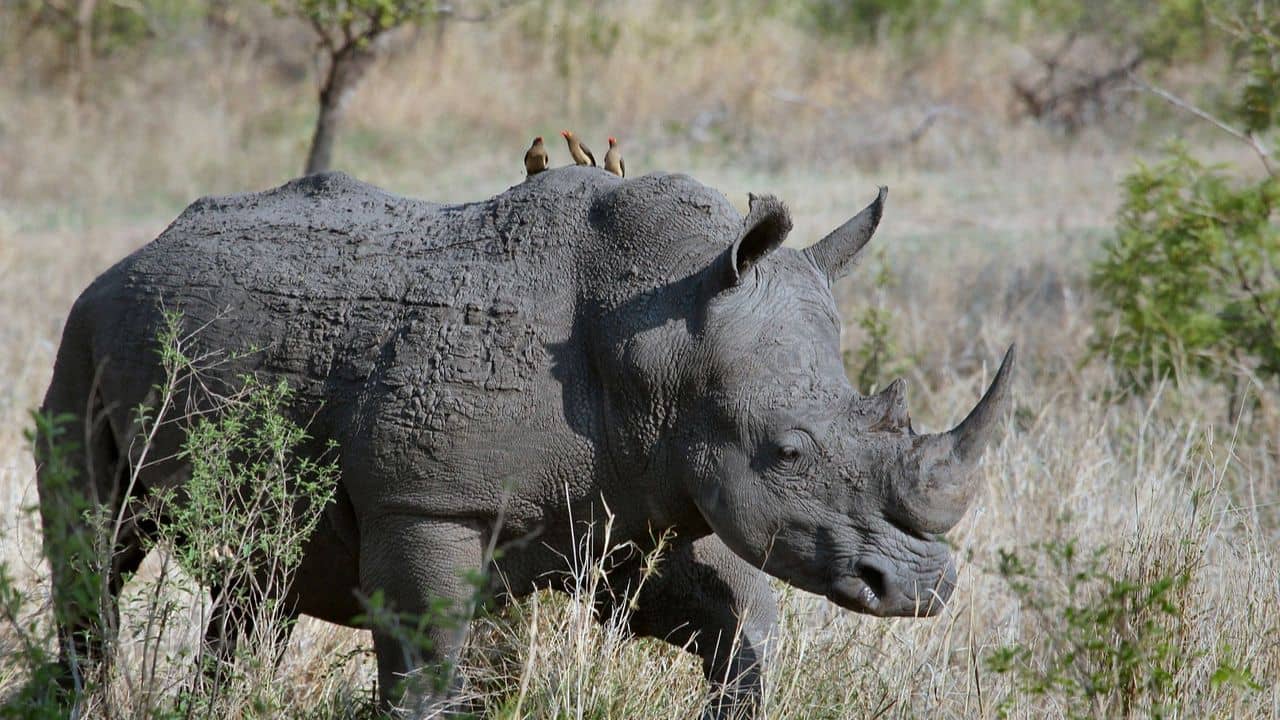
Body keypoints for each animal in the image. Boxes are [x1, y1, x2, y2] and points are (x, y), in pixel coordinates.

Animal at [37, 167, 1013, 717]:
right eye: (789, 450)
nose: (922, 588)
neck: (663, 336)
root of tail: (135, 252)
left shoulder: (636, 499)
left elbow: (735, 627)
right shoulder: (427, 504)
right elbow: (427, 665)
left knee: (257, 580)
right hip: (81, 331)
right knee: (96, 544)